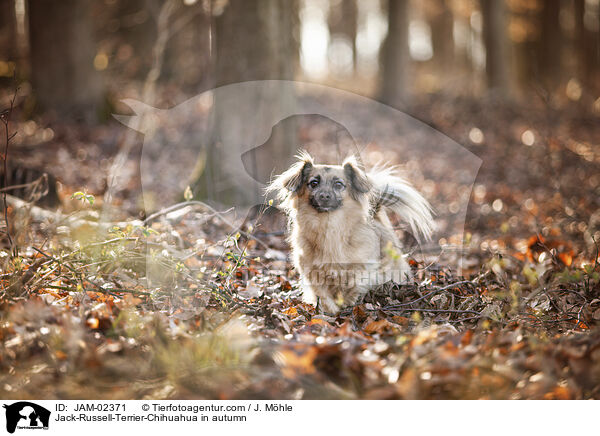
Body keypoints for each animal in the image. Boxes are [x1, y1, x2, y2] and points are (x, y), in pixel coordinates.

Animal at [266, 152, 432, 314]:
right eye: (313, 183)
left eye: (338, 184)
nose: (324, 196)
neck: (329, 225)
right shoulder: (311, 270)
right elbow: (322, 293)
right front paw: (330, 309)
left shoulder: (364, 267)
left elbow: (355, 284)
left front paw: (347, 302)